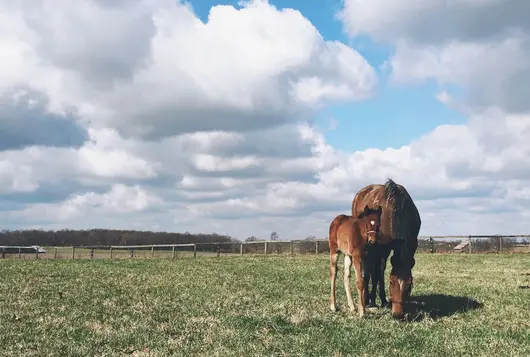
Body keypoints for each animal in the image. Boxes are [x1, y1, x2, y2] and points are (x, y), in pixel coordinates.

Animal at [350, 178, 420, 318]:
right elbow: (374, 274)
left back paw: (381, 299)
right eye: (391, 282)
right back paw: (368, 299)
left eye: (409, 284)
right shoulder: (378, 249)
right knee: (371, 272)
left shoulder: (411, 244)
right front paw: (370, 301)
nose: (397, 314)